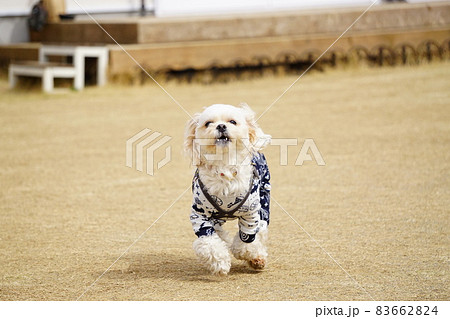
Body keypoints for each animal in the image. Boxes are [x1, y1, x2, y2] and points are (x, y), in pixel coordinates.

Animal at [184, 104, 270, 276]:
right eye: (208, 123)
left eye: (232, 122)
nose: (221, 126)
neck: (224, 167)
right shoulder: (199, 215)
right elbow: (209, 241)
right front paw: (220, 263)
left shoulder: (250, 213)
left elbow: (246, 240)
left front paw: (251, 254)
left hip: (264, 197)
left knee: (262, 227)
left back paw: (258, 258)